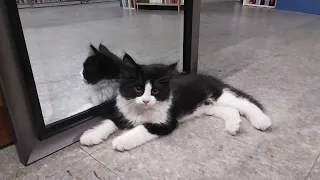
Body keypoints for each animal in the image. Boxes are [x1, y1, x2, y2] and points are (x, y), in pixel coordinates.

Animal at [79, 53, 272, 150]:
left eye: (155, 91)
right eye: (138, 89)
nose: (146, 100)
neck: (141, 111)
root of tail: (208, 77)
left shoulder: (165, 122)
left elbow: (142, 128)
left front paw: (121, 141)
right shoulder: (123, 110)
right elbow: (109, 122)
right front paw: (90, 136)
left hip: (219, 94)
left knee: (245, 103)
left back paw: (262, 121)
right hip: (205, 106)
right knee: (229, 110)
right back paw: (233, 125)